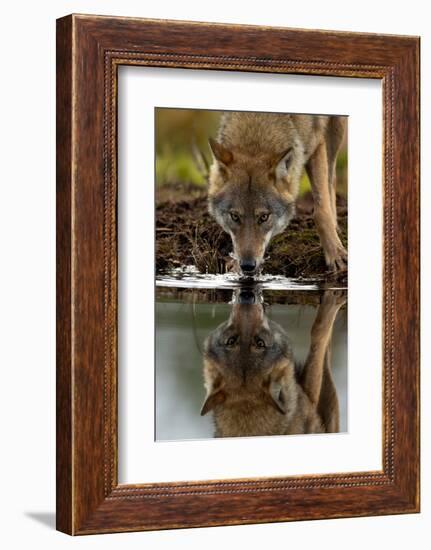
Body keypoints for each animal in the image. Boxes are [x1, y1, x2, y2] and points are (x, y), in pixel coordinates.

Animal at [199, 288, 344, 440]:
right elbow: (318, 334)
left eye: (231, 341)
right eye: (260, 342)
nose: (246, 297)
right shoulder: (311, 397)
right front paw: (334, 299)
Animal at [208, 112, 348, 276]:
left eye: (264, 217)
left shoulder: (317, 143)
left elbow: (321, 212)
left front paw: (335, 254)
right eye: (234, 216)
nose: (247, 265)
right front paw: (236, 265)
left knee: (331, 178)